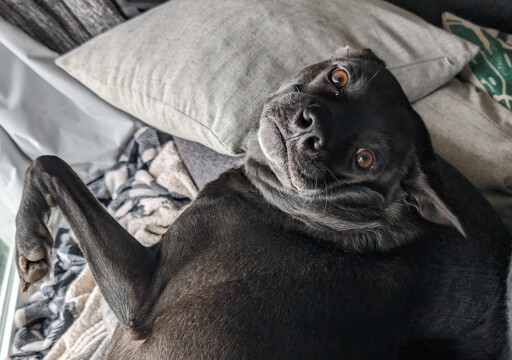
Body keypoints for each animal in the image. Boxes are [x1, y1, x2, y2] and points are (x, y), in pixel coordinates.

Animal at [14, 48, 510, 360]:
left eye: (364, 159)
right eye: (339, 76)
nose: (309, 128)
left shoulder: (138, 295)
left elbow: (48, 163)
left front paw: (30, 242)